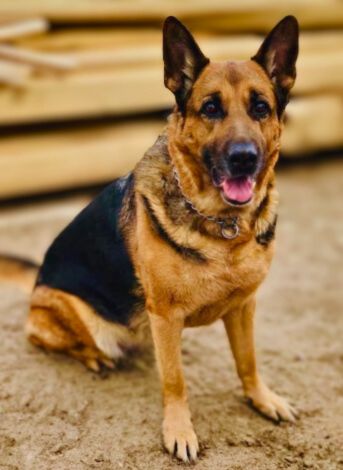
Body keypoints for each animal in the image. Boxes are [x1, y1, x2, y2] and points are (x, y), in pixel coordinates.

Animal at [2, 15, 298, 462]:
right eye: (211, 108)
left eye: (260, 107)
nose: (244, 158)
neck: (222, 225)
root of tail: (39, 280)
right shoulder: (167, 314)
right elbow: (175, 381)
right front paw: (179, 430)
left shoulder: (243, 307)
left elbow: (248, 361)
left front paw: (262, 398)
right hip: (74, 316)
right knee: (55, 339)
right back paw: (95, 358)